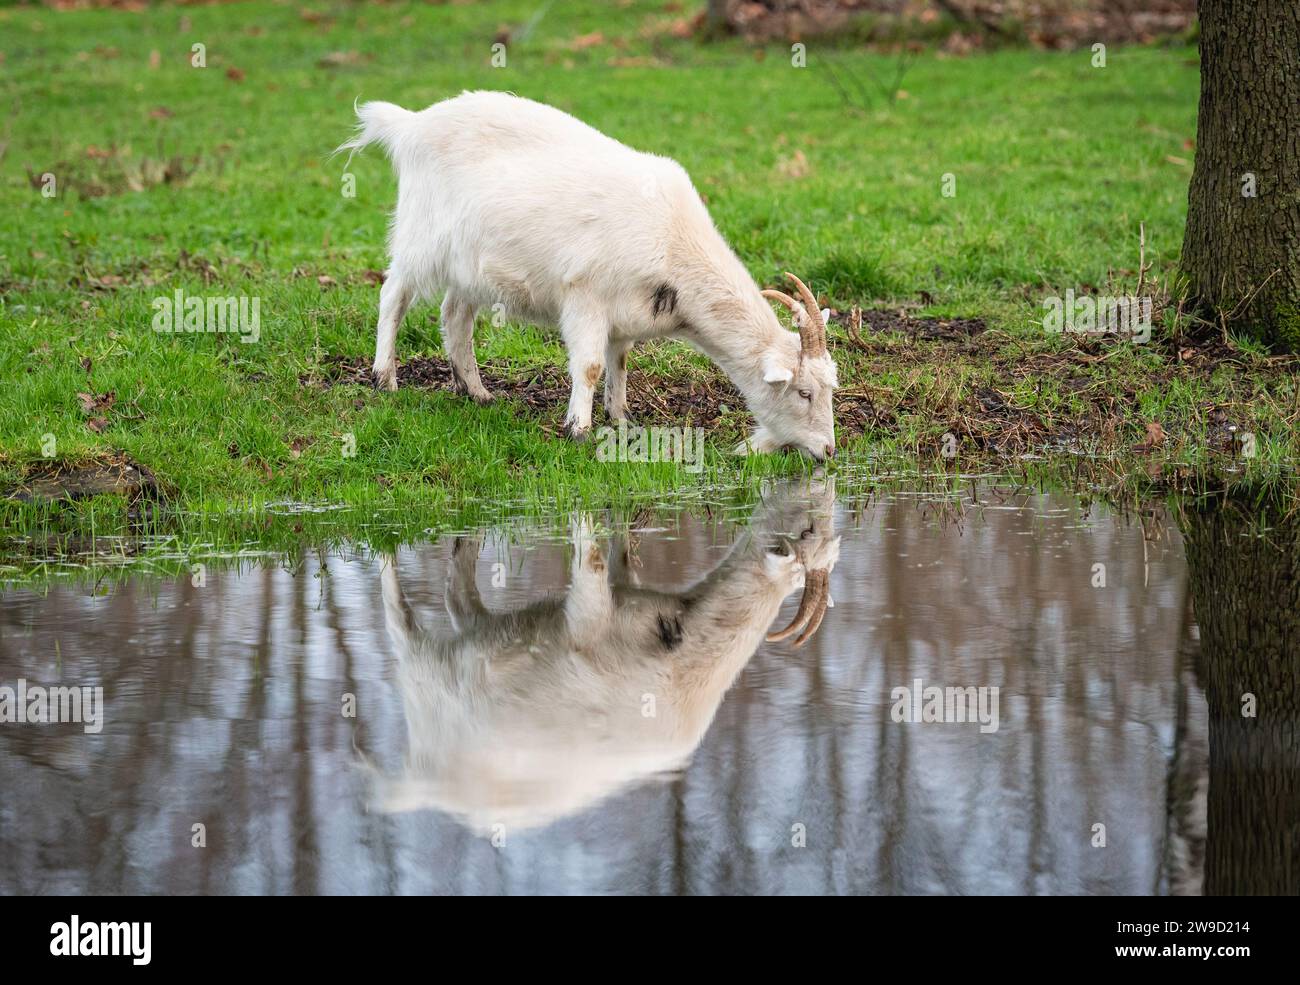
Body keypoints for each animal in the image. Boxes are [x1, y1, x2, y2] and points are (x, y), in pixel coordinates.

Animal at [339, 91, 838, 460]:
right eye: (804, 393)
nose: (829, 452)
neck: (672, 238)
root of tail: (410, 125)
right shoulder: (585, 296)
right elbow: (591, 365)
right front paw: (578, 428)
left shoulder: (627, 311)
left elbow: (620, 361)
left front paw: (620, 417)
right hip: (421, 235)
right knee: (394, 294)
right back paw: (385, 378)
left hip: (472, 264)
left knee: (455, 315)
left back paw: (477, 391)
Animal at [370, 477, 840, 832]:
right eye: (807, 532)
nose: (814, 488)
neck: (689, 664)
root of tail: (427, 788)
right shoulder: (589, 618)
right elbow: (591, 559)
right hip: (424, 677)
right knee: (398, 622)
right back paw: (386, 558)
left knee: (459, 595)